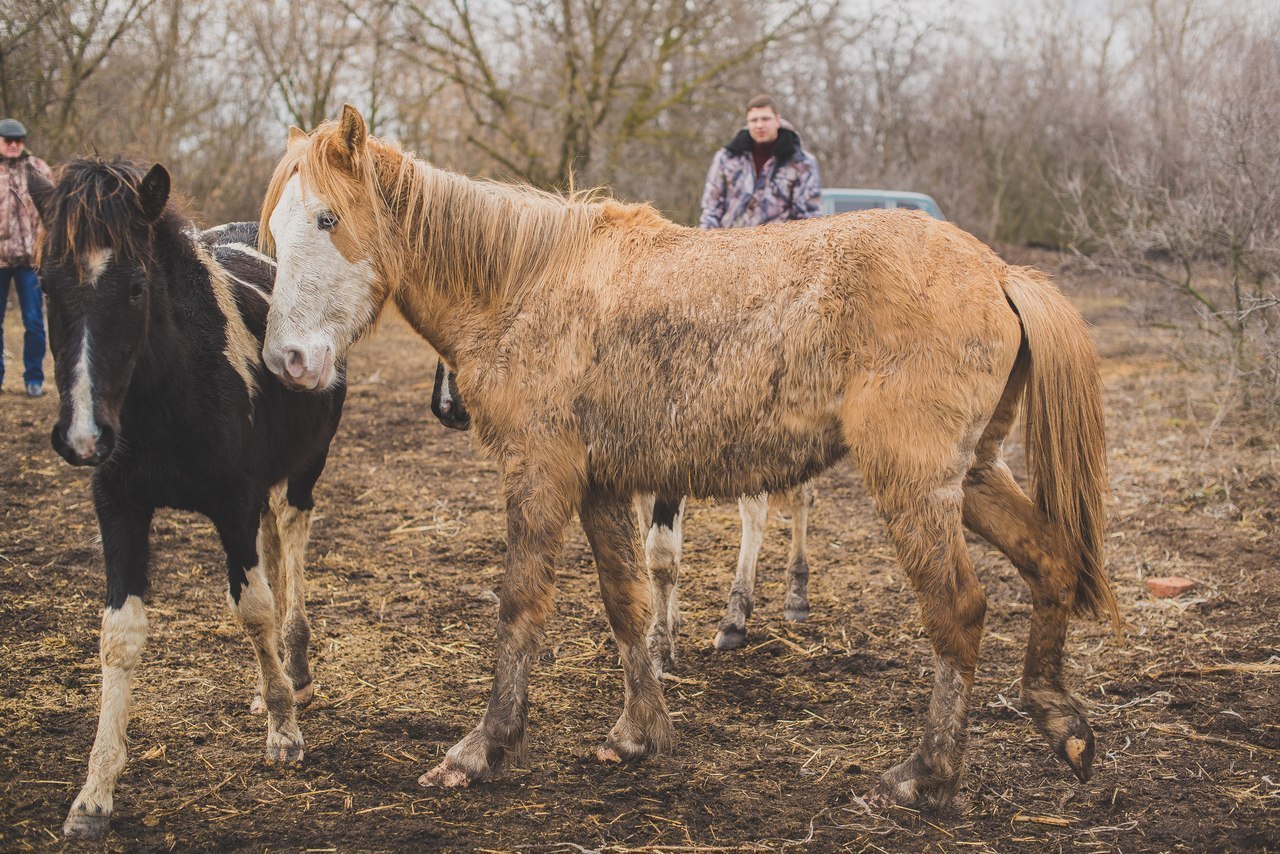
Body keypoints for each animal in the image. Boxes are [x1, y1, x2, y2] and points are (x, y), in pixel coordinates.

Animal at [29, 156, 348, 839]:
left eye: (135, 289)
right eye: (43, 284)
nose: (84, 437)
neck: (171, 386)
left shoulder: (233, 504)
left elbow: (253, 609)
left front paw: (285, 731)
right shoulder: (120, 508)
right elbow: (120, 635)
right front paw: (94, 795)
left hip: (304, 469)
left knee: (290, 539)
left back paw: (295, 675)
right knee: (276, 548)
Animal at [254, 110, 1116, 814]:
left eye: (327, 218)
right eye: (270, 232)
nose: (287, 361)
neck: (524, 285)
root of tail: (998, 273)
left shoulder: (541, 475)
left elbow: (520, 606)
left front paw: (483, 748)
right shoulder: (602, 484)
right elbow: (627, 602)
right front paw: (639, 732)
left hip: (914, 485)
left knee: (959, 611)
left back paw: (925, 775)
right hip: (973, 475)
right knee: (1050, 561)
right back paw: (1061, 721)